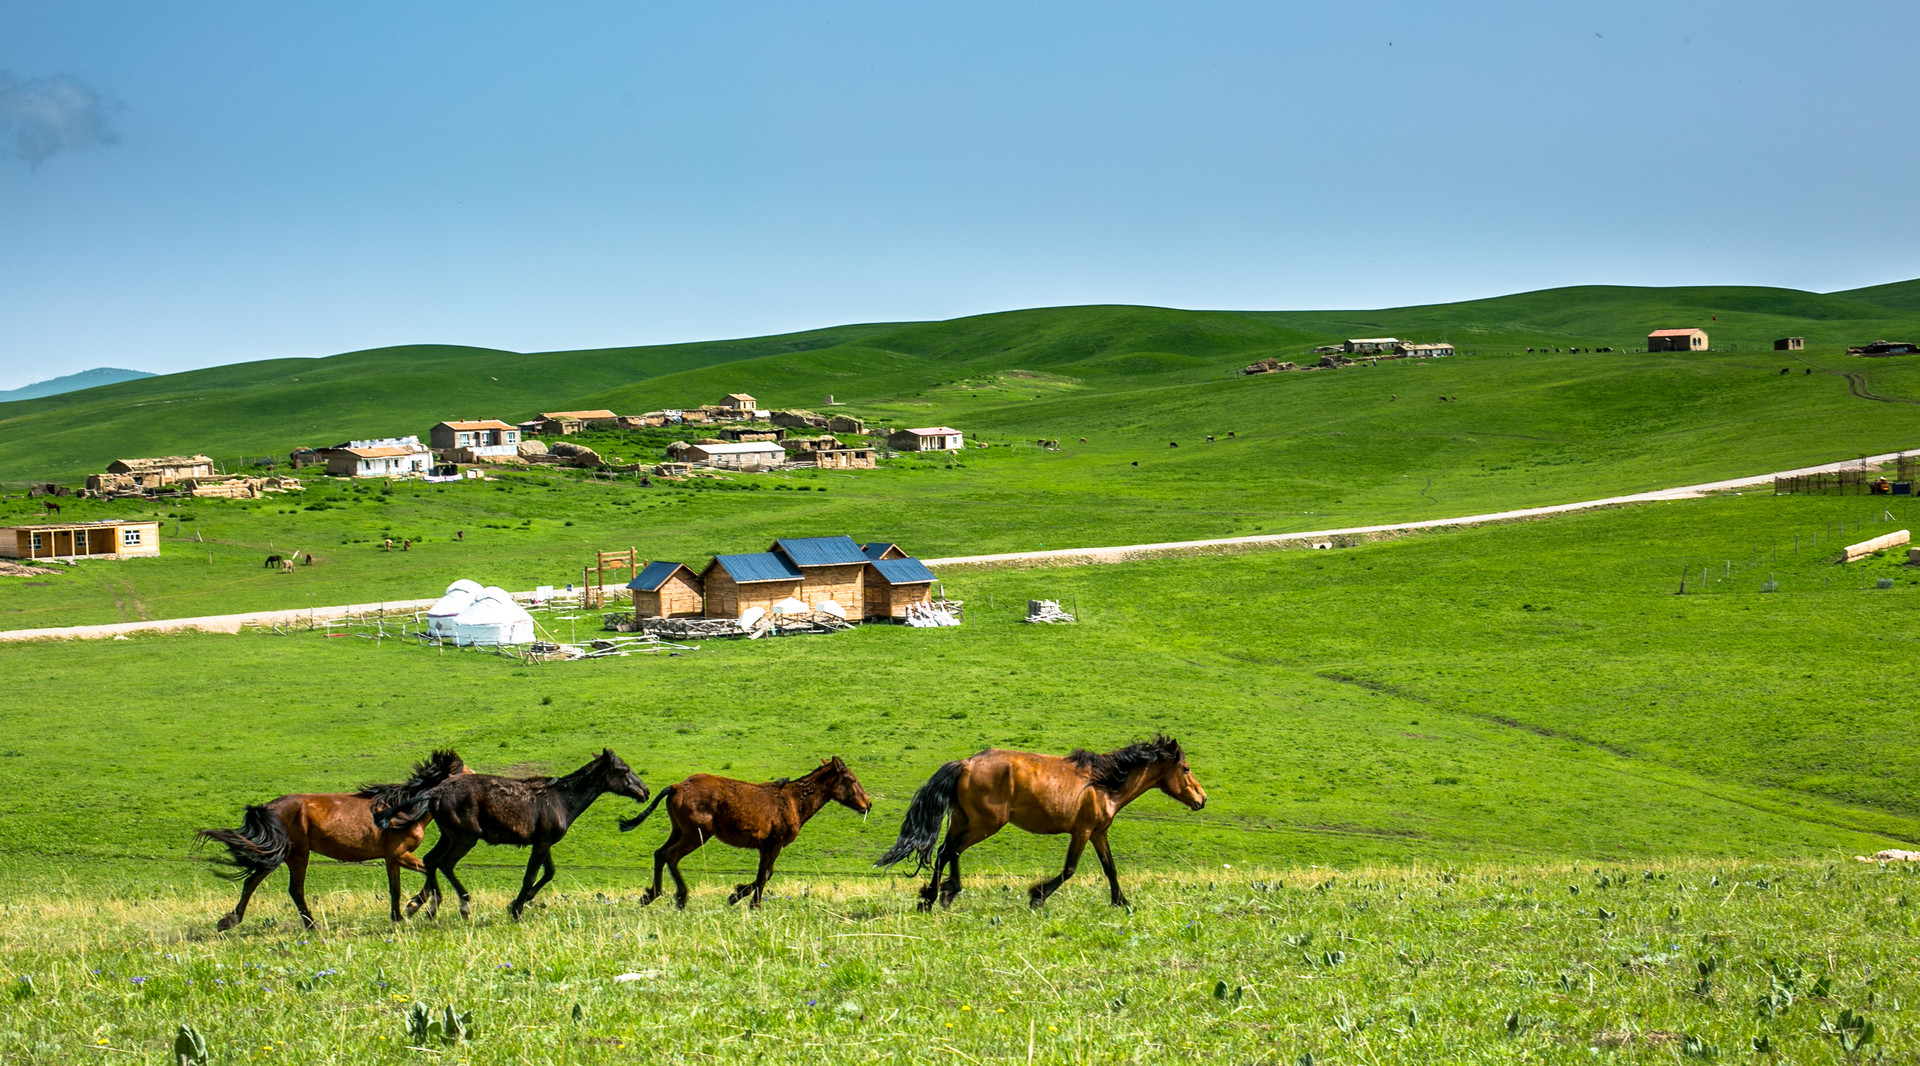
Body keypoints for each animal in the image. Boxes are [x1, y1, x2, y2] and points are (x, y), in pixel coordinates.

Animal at [195, 749, 468, 933]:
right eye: (463, 772)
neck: (402, 810)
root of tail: (268, 808)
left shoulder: (392, 859)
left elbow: (396, 888)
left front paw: (399, 916)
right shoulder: (400, 855)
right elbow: (428, 871)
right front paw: (415, 907)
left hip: (283, 854)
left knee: (252, 881)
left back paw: (229, 920)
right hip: (297, 854)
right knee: (293, 889)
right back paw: (312, 926)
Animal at [397, 749, 652, 918]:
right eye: (623, 769)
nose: (645, 792)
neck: (561, 799)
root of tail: (435, 792)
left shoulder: (543, 842)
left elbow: (549, 872)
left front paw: (520, 901)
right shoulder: (542, 843)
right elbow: (530, 875)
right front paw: (516, 910)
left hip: (448, 836)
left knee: (430, 860)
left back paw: (420, 906)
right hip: (465, 838)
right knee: (444, 863)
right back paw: (458, 905)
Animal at [618, 760, 875, 910]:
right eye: (851, 779)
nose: (868, 804)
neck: (794, 801)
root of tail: (676, 787)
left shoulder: (766, 846)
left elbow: (766, 874)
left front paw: (736, 895)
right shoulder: (773, 843)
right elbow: (764, 875)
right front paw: (752, 904)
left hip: (679, 830)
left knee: (659, 854)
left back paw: (651, 895)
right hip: (697, 834)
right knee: (671, 856)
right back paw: (680, 897)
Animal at [871, 737, 1198, 914]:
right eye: (1185, 769)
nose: (1202, 799)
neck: (1104, 784)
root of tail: (965, 763)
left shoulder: (1098, 833)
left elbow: (1110, 868)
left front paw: (1122, 902)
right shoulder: (1082, 831)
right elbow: (1069, 869)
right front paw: (1037, 896)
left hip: (966, 820)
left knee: (946, 851)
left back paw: (941, 893)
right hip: (986, 823)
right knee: (948, 851)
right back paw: (935, 896)